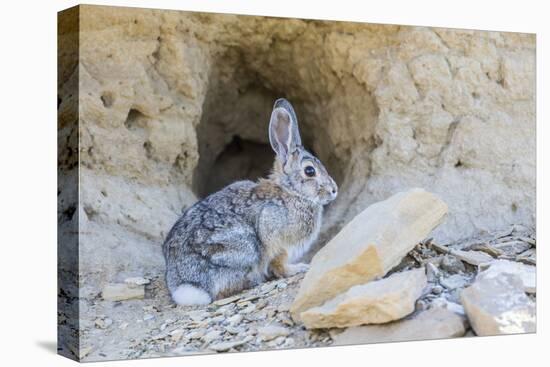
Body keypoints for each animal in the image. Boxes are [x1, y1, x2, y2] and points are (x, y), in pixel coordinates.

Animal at [162, 99, 338, 306]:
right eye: (310, 171)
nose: (334, 190)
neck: (291, 192)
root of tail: (186, 284)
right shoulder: (275, 237)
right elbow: (279, 263)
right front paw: (298, 268)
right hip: (243, 247)